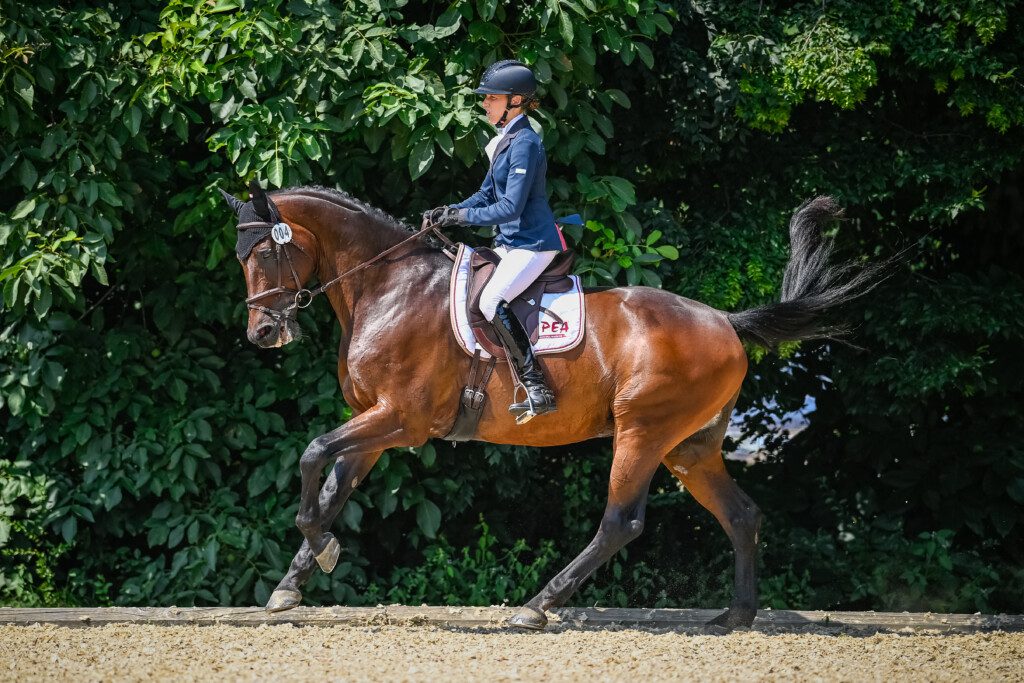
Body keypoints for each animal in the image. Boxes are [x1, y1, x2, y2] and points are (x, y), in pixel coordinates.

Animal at [220, 183, 876, 630]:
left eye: (265, 254)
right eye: (240, 257)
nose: (263, 333)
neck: (388, 287)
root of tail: (725, 322)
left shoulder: (400, 420)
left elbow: (311, 454)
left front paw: (323, 552)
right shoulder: (375, 426)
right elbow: (331, 489)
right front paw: (292, 584)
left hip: (642, 432)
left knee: (620, 522)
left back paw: (537, 606)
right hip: (689, 448)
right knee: (740, 515)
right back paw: (735, 617)